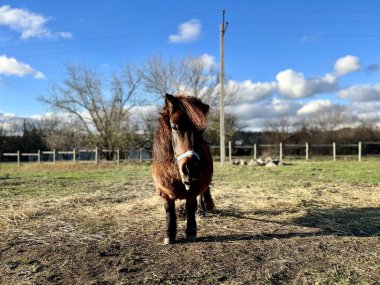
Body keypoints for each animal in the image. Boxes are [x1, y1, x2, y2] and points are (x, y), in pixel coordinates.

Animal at [153, 93, 215, 244]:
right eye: (174, 127)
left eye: (201, 131)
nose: (191, 170)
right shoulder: (164, 191)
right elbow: (169, 210)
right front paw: (169, 234)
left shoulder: (193, 189)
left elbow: (191, 206)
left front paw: (191, 232)